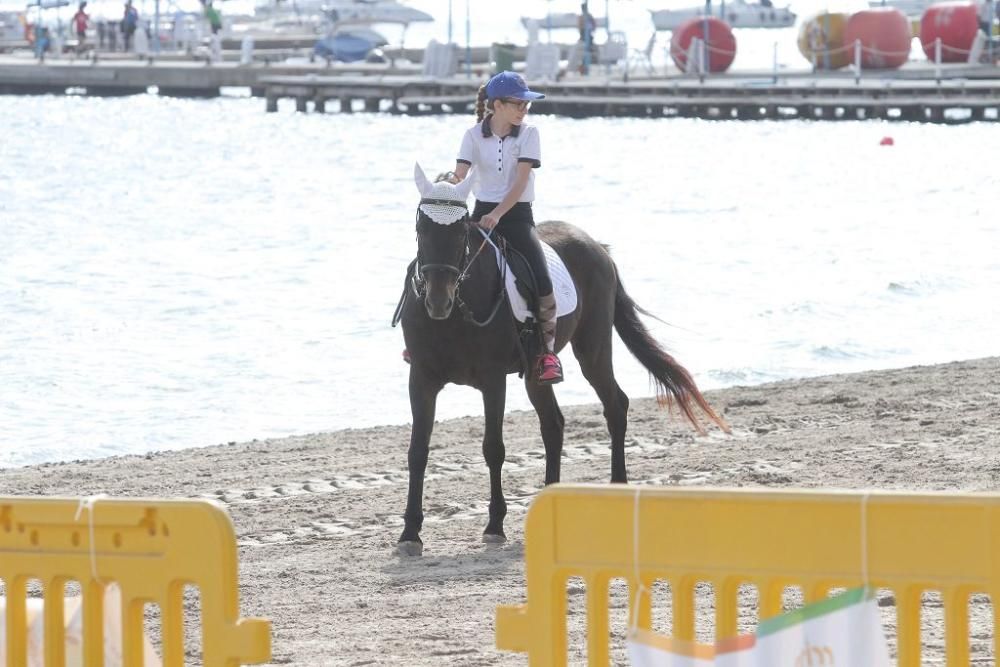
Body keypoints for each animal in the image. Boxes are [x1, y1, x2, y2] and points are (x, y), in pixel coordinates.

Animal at [394, 164, 732, 556]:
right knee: (553, 424)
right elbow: (417, 451)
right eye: (421, 228)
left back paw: (617, 486)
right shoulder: (421, 378)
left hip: (593, 348)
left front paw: (494, 526)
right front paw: (410, 533)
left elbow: (493, 448)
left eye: (462, 230)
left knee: (615, 404)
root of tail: (598, 247)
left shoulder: (492, 380)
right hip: (535, 372)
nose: (438, 300)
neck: (456, 314)